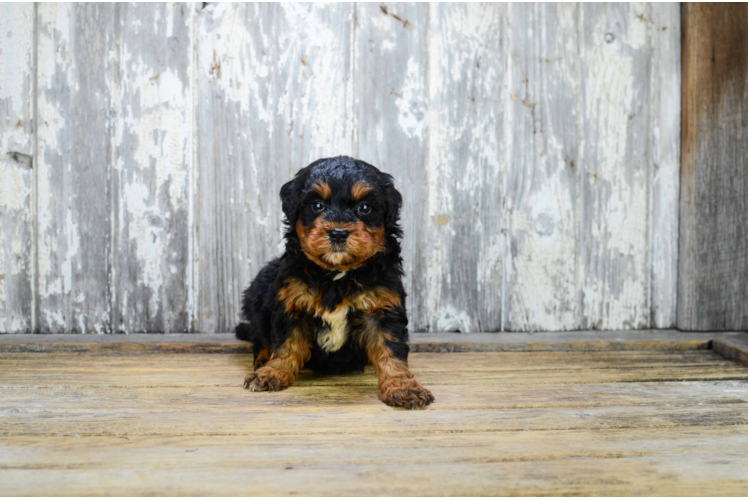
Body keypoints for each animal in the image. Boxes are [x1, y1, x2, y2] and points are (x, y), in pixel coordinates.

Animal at [234, 156, 432, 410]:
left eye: (364, 208)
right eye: (318, 205)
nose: (338, 233)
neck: (338, 274)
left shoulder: (383, 307)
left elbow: (391, 350)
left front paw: (402, 387)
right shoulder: (292, 302)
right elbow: (286, 344)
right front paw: (273, 372)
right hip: (258, 291)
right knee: (259, 337)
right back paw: (262, 361)